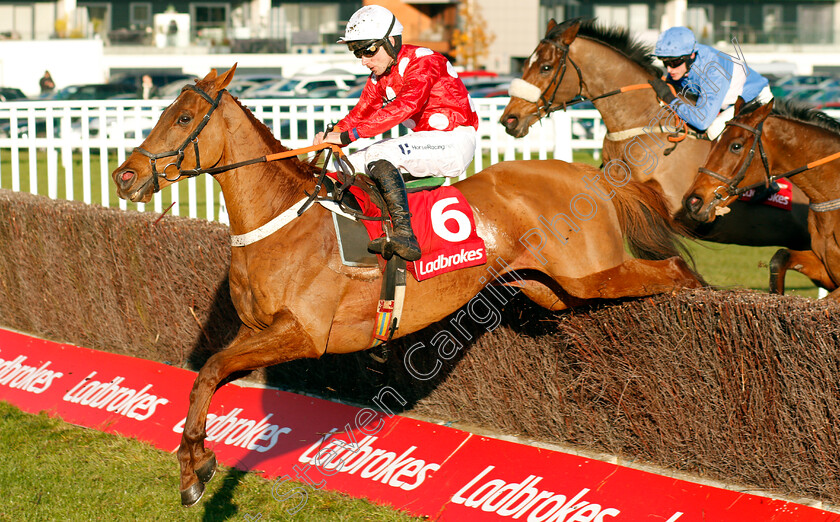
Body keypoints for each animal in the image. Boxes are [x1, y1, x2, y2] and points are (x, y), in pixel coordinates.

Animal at [111, 65, 704, 504]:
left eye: (183, 116)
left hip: (590, 276)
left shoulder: (304, 335)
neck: (283, 219)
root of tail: (589, 174)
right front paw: (194, 466)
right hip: (550, 288)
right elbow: (206, 378)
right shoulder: (257, 331)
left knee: (674, 272)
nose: (124, 175)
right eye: (161, 111)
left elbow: (211, 369)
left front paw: (195, 467)